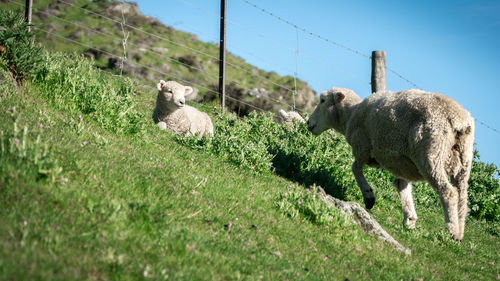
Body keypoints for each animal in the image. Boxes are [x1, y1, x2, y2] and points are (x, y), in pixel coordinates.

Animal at [306, 87, 474, 241]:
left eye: (322, 100)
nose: (308, 122)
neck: (350, 115)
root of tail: (459, 120)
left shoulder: (362, 147)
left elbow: (355, 168)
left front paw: (369, 196)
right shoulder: (401, 165)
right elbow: (402, 186)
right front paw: (409, 218)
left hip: (431, 154)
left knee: (448, 192)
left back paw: (451, 231)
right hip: (463, 161)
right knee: (462, 199)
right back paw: (459, 232)